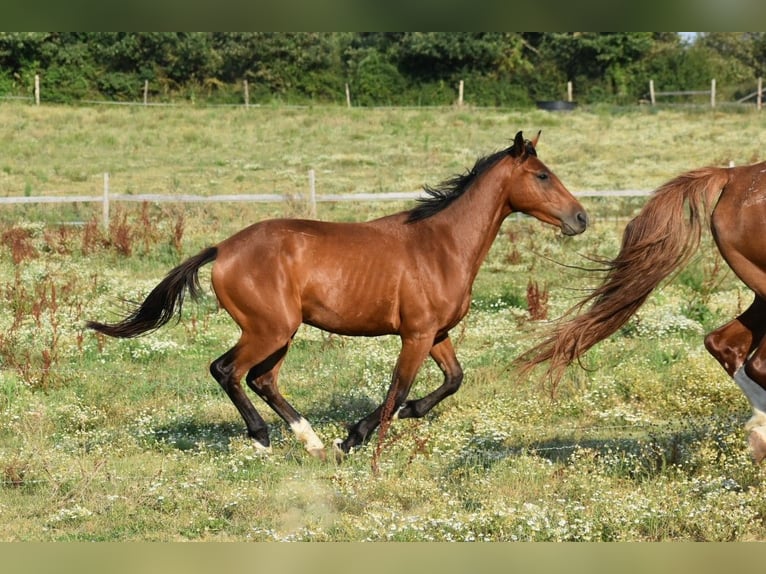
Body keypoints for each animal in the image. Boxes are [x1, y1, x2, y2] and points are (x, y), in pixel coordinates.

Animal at [88, 132, 588, 464]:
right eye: (542, 175)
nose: (581, 218)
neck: (441, 244)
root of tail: (223, 248)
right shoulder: (416, 334)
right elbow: (397, 387)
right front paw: (353, 438)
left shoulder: (437, 333)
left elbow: (453, 379)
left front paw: (406, 414)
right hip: (270, 330)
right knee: (227, 370)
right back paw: (263, 438)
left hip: (279, 333)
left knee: (262, 380)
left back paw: (309, 440)